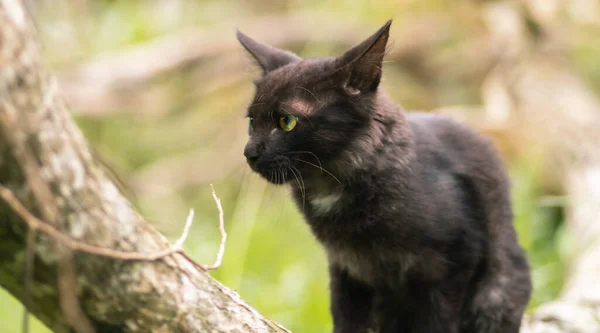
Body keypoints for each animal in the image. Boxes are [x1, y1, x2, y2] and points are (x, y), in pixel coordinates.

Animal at [237, 20, 532, 332]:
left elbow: (436, 323)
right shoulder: (346, 270)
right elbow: (347, 321)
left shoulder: (453, 263)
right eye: (252, 122)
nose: (249, 152)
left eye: (287, 121)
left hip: (497, 290)